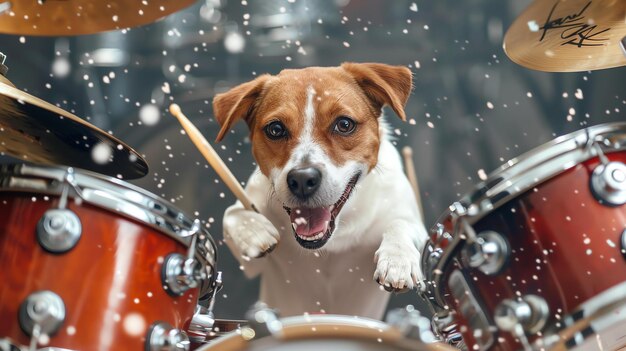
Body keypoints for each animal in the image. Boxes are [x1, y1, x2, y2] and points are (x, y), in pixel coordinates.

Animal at [212, 62, 426, 320]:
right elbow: (232, 214)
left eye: (344, 124)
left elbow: (401, 225)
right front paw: (254, 231)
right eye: (275, 129)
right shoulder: (252, 264)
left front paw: (398, 259)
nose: (303, 179)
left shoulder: (413, 224)